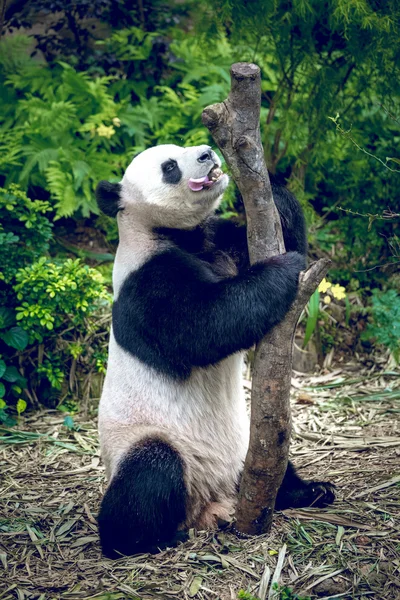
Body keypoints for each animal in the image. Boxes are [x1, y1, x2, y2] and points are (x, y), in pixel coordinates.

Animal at [94, 144, 334, 556]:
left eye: (182, 147)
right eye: (170, 167)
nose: (207, 153)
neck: (172, 234)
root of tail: (210, 502)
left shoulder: (217, 241)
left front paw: (270, 189)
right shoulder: (146, 282)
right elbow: (205, 325)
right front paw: (283, 268)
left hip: (243, 445)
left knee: (272, 457)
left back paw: (309, 491)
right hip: (146, 438)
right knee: (150, 473)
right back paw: (141, 540)